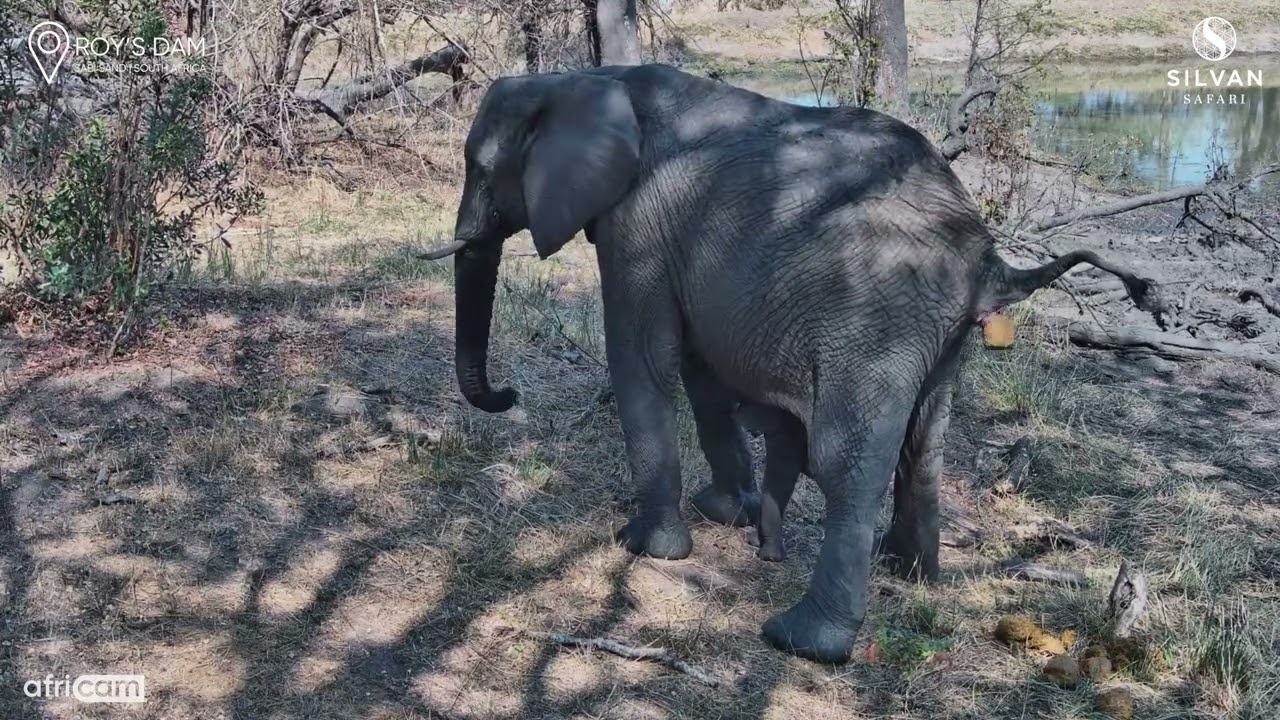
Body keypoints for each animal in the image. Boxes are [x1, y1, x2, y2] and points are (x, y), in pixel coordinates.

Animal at [429, 63, 1165, 663]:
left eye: (483, 167)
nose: (507, 392)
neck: (585, 78)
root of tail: (986, 256)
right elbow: (699, 370)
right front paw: (725, 511)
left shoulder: (638, 226)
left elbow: (641, 359)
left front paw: (644, 545)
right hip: (939, 332)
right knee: (925, 443)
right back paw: (910, 575)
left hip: (874, 320)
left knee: (847, 461)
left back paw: (804, 641)